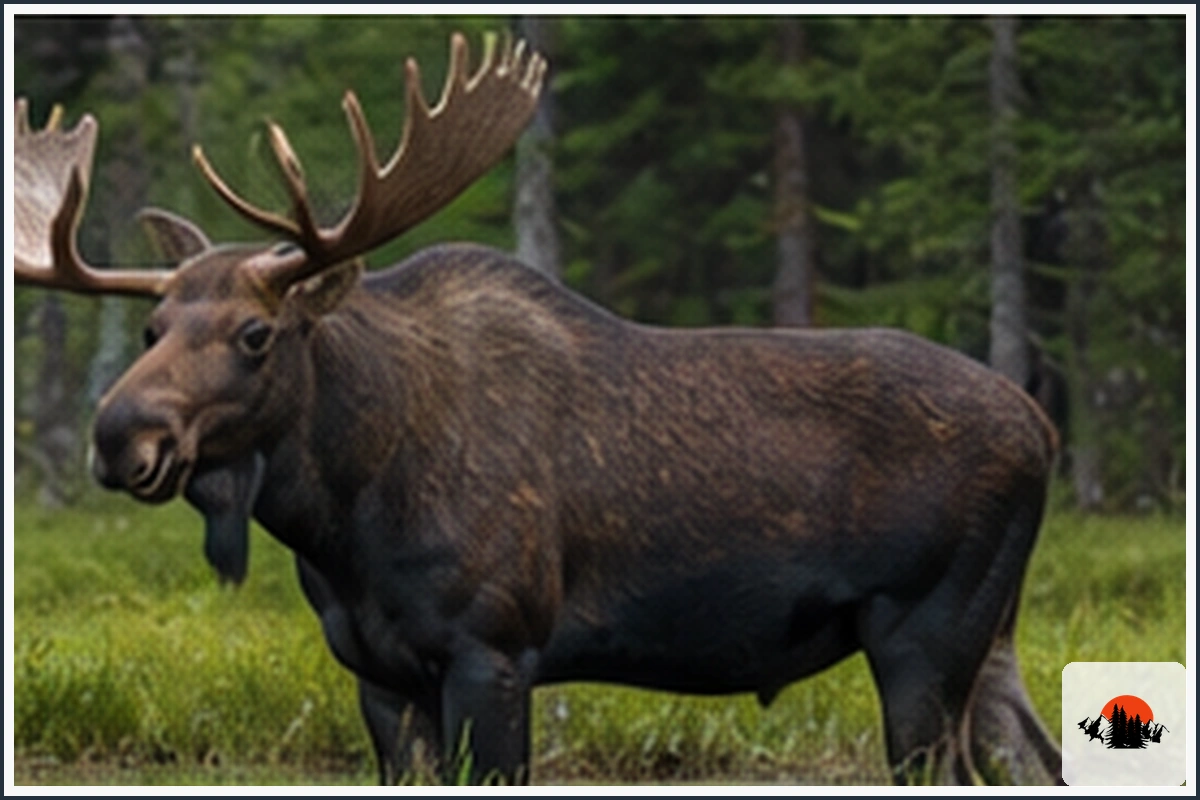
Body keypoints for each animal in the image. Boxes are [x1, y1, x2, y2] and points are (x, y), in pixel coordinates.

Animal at [14, 31, 1063, 785]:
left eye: (255, 334)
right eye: (150, 326)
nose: (120, 436)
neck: (344, 514)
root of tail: (1044, 427)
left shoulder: (495, 647)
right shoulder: (377, 674)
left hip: (925, 630)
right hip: (991, 637)